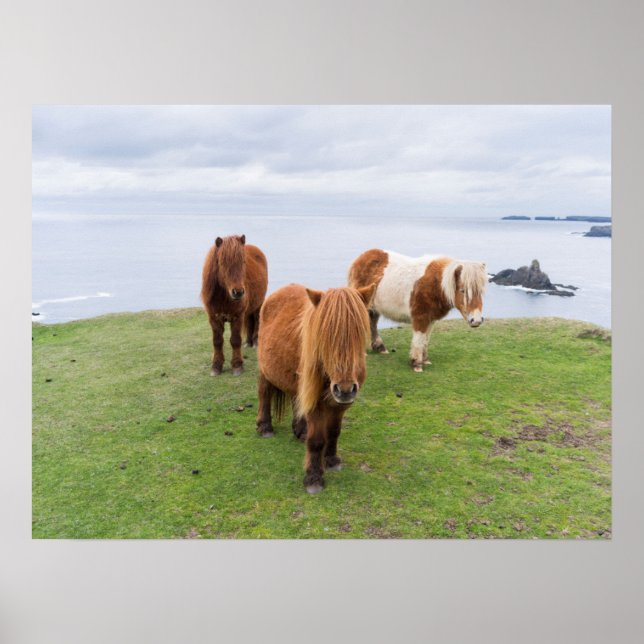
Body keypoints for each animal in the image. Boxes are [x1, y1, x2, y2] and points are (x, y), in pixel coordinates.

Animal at [200, 234, 268, 376]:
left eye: (243, 262)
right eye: (222, 263)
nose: (238, 292)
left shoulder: (237, 317)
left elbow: (235, 340)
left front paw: (237, 366)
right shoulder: (214, 318)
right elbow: (217, 341)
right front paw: (216, 366)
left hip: (258, 304)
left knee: (257, 320)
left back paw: (255, 342)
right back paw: (248, 342)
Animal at [255, 282, 376, 494]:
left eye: (359, 334)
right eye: (325, 337)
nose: (345, 389)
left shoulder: (340, 405)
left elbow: (334, 431)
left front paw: (332, 460)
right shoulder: (317, 404)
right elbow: (317, 441)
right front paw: (313, 478)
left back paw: (300, 430)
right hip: (265, 371)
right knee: (264, 394)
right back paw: (265, 427)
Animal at [348, 249, 487, 372]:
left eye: (480, 291)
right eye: (463, 290)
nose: (476, 320)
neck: (436, 284)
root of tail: (361, 258)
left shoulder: (430, 319)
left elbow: (425, 339)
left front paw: (425, 360)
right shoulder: (421, 317)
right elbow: (419, 340)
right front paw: (417, 364)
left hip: (374, 308)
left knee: (372, 323)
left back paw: (380, 348)